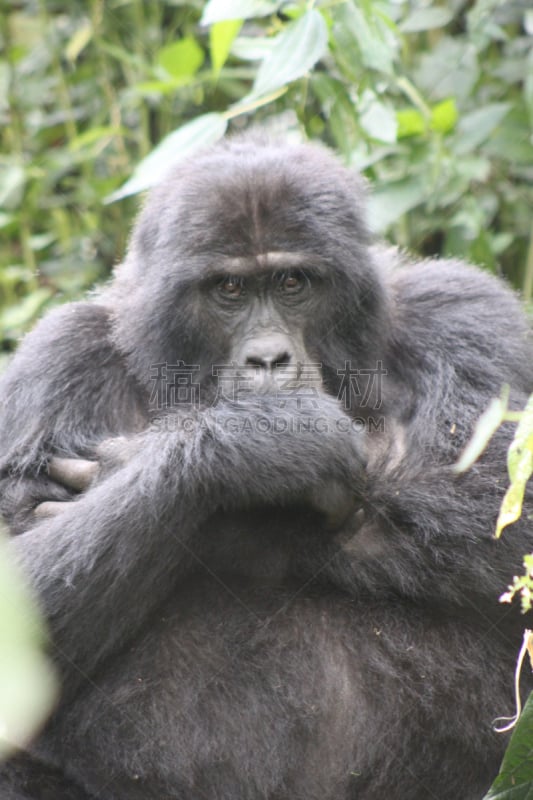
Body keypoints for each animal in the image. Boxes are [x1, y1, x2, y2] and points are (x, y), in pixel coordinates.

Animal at [1, 134, 532, 796]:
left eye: (292, 281)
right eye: (229, 290)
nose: (269, 359)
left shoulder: (464, 312)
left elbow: (501, 509)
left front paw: (237, 515)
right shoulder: (60, 357)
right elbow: (17, 601)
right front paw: (250, 447)